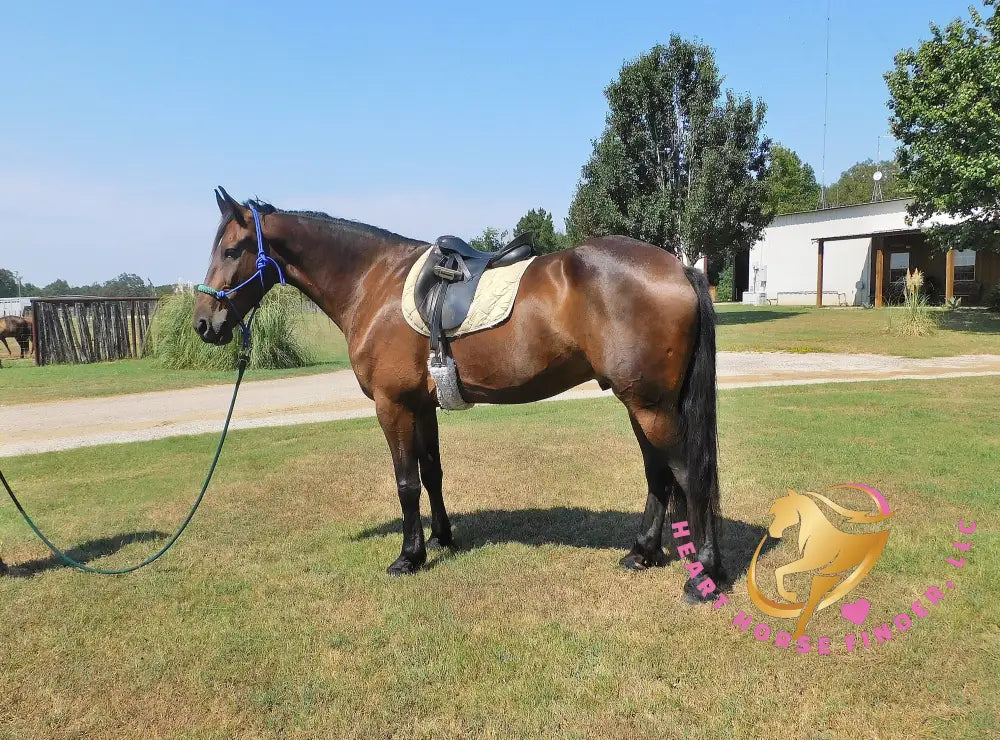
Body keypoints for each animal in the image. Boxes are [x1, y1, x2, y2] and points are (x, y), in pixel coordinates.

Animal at [193, 188, 724, 598]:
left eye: (231, 250)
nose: (203, 323)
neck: (374, 282)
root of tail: (680, 268)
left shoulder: (392, 405)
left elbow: (405, 482)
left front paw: (408, 556)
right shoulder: (420, 405)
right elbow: (432, 473)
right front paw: (441, 538)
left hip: (651, 407)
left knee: (688, 475)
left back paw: (704, 576)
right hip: (640, 403)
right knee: (659, 475)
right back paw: (642, 553)